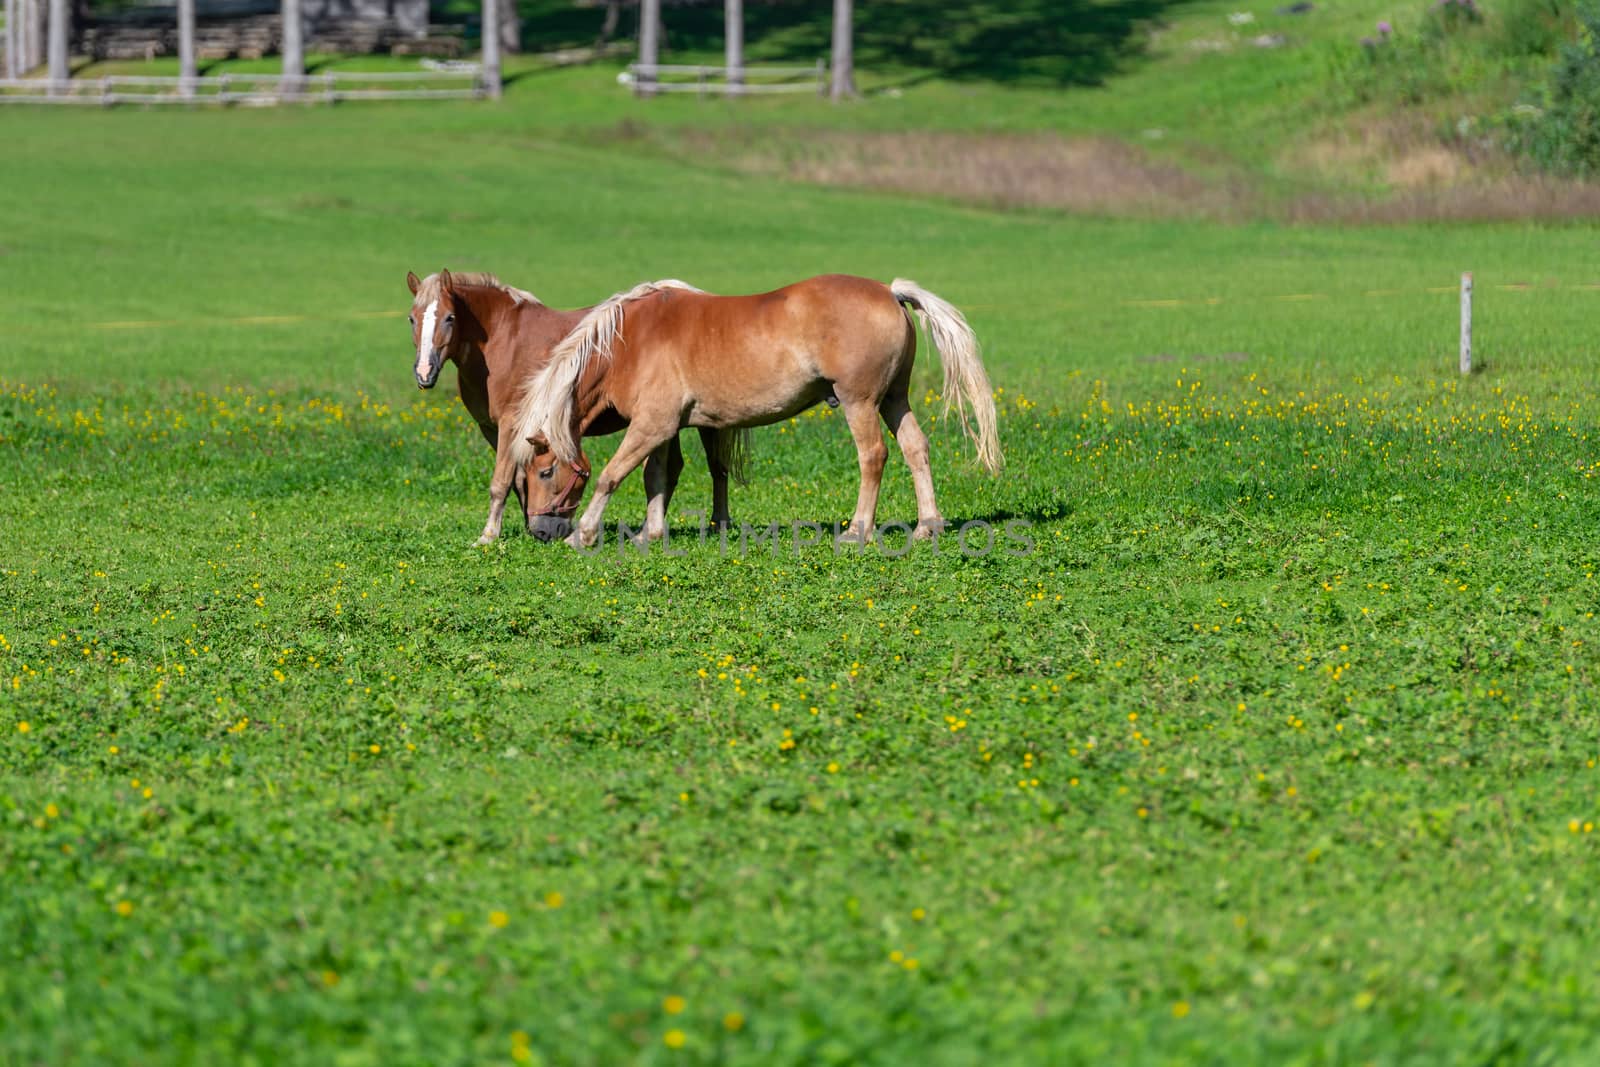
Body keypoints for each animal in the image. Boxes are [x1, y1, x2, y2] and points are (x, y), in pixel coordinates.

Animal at [406, 267, 742, 543]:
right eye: (412, 318)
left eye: (449, 317)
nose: (424, 372)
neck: (502, 342)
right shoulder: (493, 429)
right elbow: (517, 480)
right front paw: (529, 524)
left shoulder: (512, 425)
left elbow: (500, 481)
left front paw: (488, 537)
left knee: (717, 468)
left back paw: (716, 524)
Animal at [508, 273, 998, 550]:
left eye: (545, 472)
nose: (541, 532)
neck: (629, 342)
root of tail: (889, 292)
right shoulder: (663, 428)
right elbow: (656, 477)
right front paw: (652, 533)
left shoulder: (651, 426)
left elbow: (611, 476)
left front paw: (584, 534)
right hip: (895, 399)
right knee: (916, 448)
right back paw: (928, 526)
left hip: (860, 403)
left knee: (873, 457)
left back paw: (858, 531)